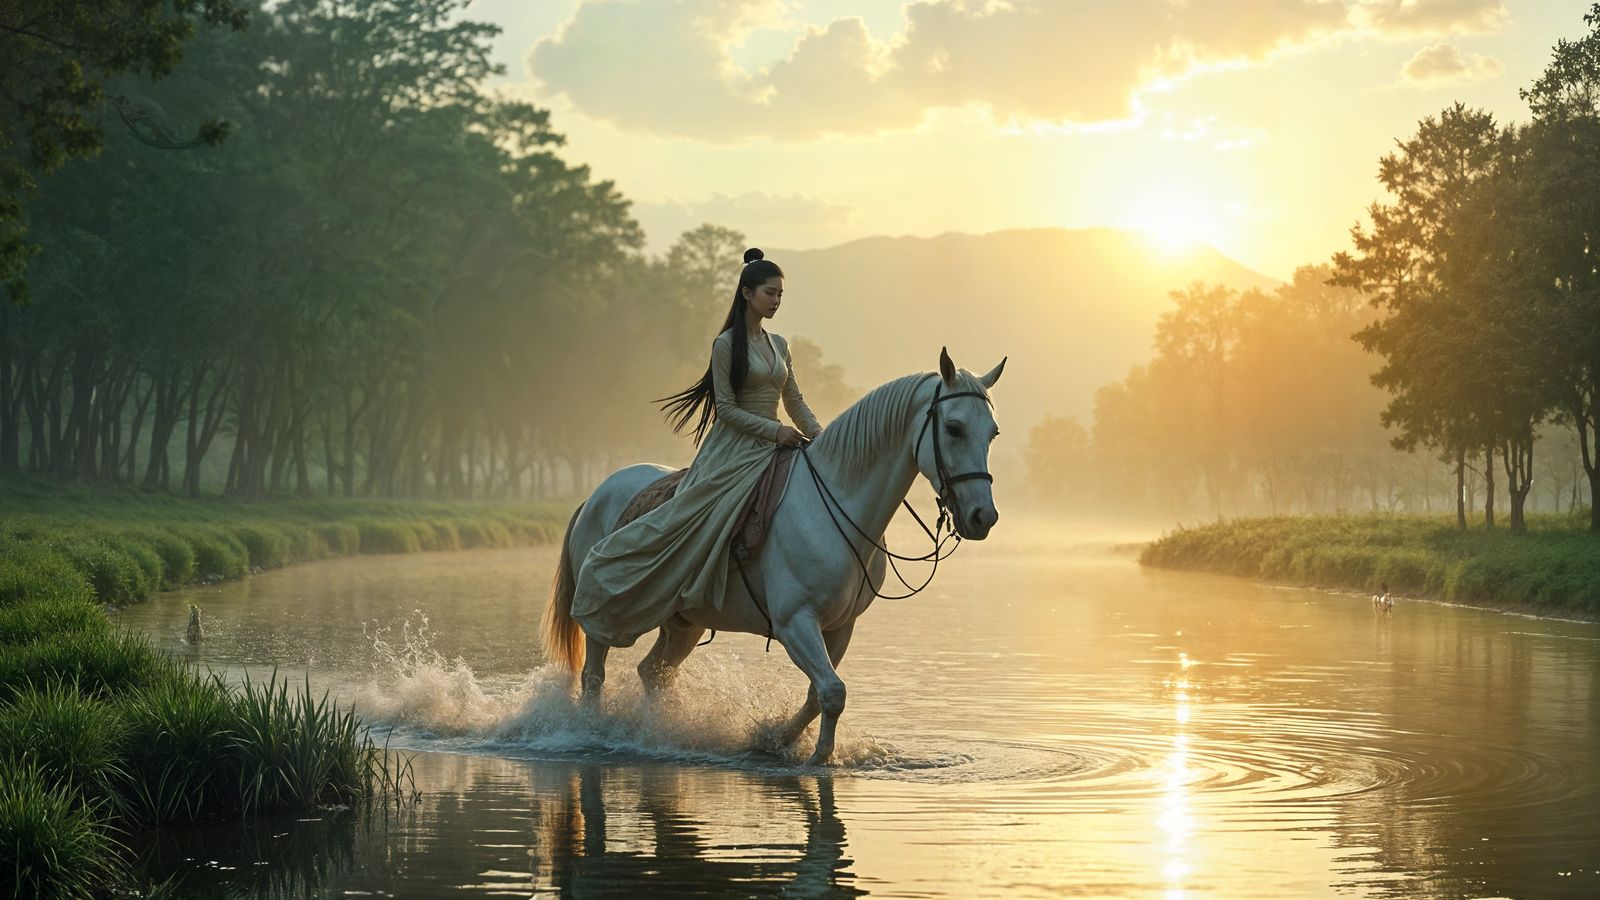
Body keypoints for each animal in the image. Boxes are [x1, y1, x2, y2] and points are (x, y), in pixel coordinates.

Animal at [544, 347, 1005, 765]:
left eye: (992, 433)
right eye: (954, 427)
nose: (983, 517)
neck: (833, 504)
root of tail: (594, 496)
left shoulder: (840, 627)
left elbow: (820, 694)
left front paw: (774, 739)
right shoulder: (795, 623)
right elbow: (833, 692)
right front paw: (816, 755)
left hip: (684, 623)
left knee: (654, 673)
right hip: (610, 613)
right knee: (594, 674)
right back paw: (591, 732)